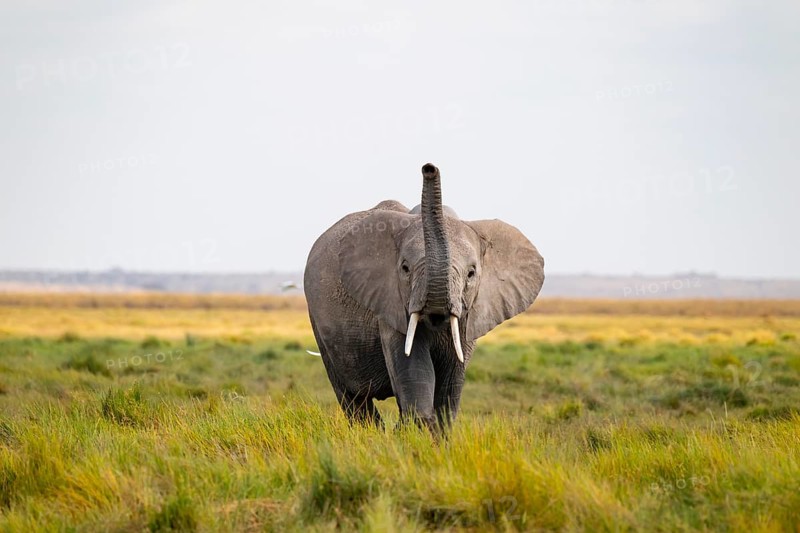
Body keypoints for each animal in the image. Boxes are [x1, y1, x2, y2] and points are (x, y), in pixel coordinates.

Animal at [303, 163, 544, 432]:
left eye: (471, 273)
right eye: (405, 268)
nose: (429, 168)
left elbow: (451, 385)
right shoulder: (391, 304)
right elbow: (413, 371)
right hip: (319, 325)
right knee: (353, 398)